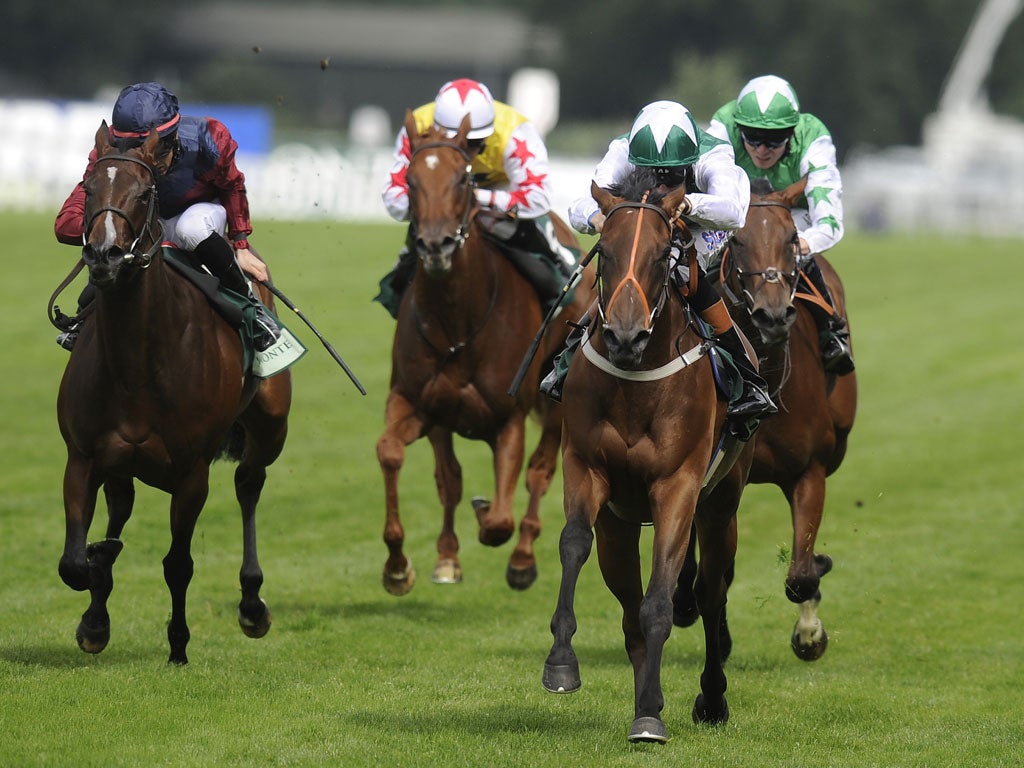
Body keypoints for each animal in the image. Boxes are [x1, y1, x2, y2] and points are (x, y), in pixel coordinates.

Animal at [55, 123, 290, 663]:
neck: (138, 361)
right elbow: (75, 563)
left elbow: (177, 564)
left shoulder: (191, 472)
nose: (104, 255)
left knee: (249, 483)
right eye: (89, 189)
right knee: (120, 509)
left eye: (144, 194)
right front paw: (94, 613)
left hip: (270, 426)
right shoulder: (83, 455)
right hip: (120, 463)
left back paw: (252, 603)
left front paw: (178, 646)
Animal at [378, 112, 598, 593]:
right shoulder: (418, 402)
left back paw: (523, 557)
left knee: (539, 474)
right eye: (410, 179)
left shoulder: (508, 417)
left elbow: (499, 518)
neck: (458, 319)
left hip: (558, 402)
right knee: (449, 478)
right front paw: (399, 565)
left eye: (463, 178)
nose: (435, 245)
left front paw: (495, 529)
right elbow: (394, 454)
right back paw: (446, 555)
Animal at [544, 176, 753, 745]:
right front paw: (561, 662)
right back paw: (647, 694)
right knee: (627, 605)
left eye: (664, 255)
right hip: (619, 527)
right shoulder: (585, 467)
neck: (636, 385)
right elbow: (573, 544)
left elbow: (661, 598)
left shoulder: (678, 486)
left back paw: (711, 699)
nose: (624, 335)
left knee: (710, 593)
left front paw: (652, 721)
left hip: (721, 505)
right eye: (605, 251)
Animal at [679, 179, 856, 663]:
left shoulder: (810, 470)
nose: (772, 315)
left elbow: (800, 573)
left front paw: (810, 633)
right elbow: (715, 572)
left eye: (792, 238)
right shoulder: (715, 476)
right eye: (736, 240)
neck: (770, 382)